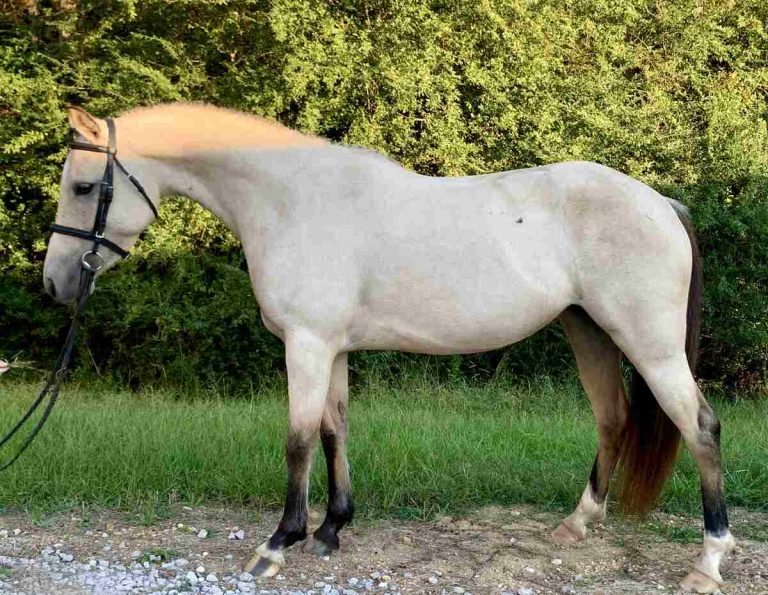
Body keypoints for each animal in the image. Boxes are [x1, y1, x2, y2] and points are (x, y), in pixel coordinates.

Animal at [43, 103, 734, 593]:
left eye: (83, 187)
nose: (55, 283)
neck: (291, 201)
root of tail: (660, 202)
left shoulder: (307, 345)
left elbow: (297, 441)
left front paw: (278, 544)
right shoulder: (332, 349)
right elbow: (334, 432)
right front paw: (330, 530)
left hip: (650, 346)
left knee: (700, 427)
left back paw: (708, 562)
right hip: (587, 331)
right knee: (613, 418)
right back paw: (578, 524)